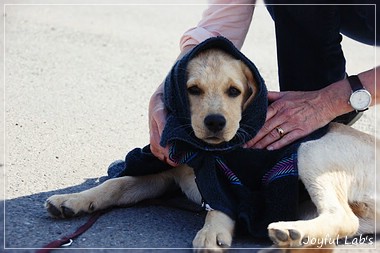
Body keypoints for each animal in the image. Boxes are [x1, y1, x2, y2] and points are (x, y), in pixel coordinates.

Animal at [44, 48, 378, 252]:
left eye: (234, 91)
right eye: (193, 90)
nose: (215, 122)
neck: (204, 152)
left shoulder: (230, 180)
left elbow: (221, 200)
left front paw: (211, 233)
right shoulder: (165, 174)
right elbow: (116, 184)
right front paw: (73, 200)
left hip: (312, 150)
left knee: (342, 217)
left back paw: (289, 232)